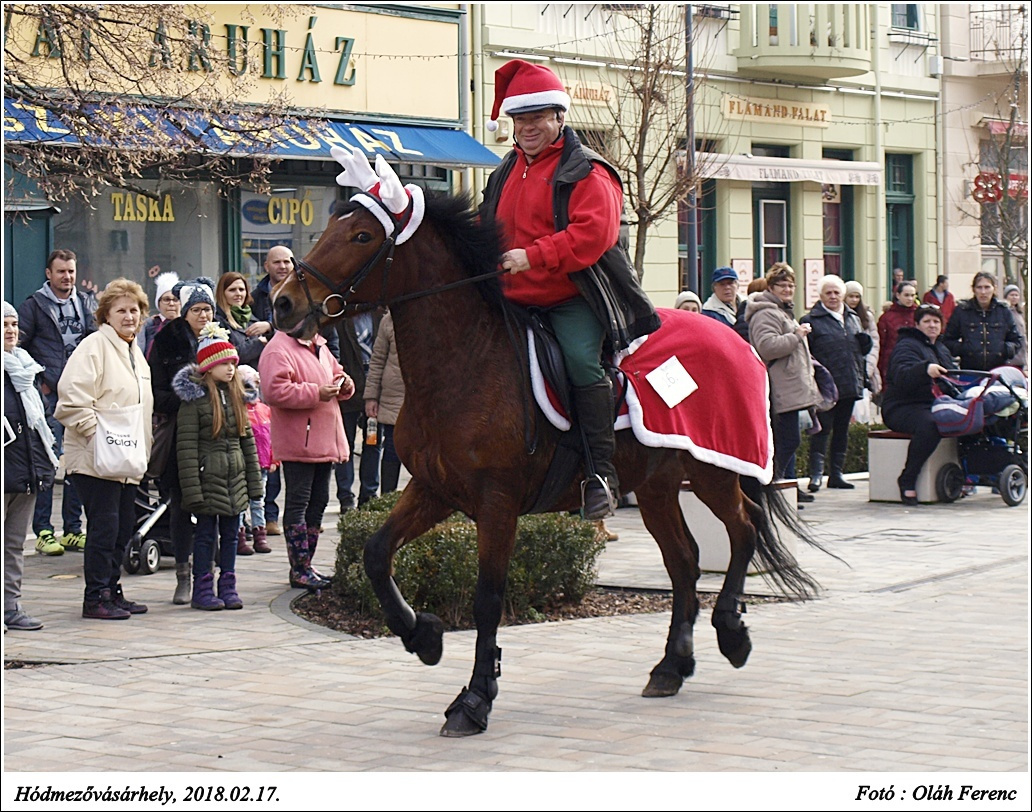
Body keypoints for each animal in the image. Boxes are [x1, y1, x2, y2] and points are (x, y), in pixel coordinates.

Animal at [272, 193, 821, 738]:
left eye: (362, 235)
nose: (282, 302)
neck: (465, 358)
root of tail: (737, 338)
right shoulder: (433, 489)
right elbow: (375, 553)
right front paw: (423, 636)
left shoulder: (497, 502)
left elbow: (488, 597)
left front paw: (474, 698)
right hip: (656, 486)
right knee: (684, 561)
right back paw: (671, 666)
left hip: (712, 470)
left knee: (745, 528)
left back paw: (731, 632)